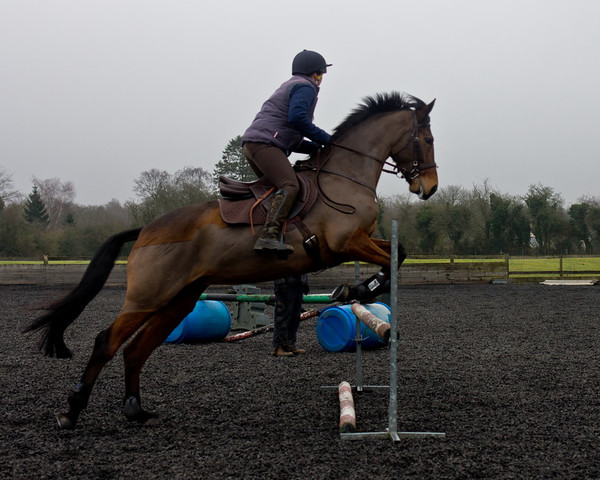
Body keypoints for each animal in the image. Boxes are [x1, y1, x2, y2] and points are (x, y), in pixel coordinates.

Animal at [24, 92, 436, 430]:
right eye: (428, 140)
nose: (428, 188)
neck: (344, 176)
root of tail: (144, 231)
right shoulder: (346, 242)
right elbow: (393, 258)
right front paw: (359, 288)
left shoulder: (361, 241)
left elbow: (398, 252)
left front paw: (358, 288)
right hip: (148, 297)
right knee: (106, 342)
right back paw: (72, 410)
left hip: (179, 301)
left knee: (135, 350)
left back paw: (135, 411)